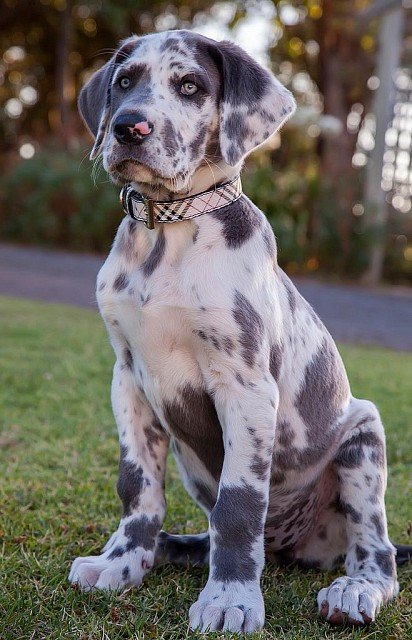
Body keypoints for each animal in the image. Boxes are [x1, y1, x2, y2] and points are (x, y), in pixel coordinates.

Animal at [68, 30, 406, 636]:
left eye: (190, 86)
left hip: (363, 440)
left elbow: (240, 503)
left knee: (377, 551)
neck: (169, 233)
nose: (129, 127)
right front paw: (122, 562)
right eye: (124, 81)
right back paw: (170, 549)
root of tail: (293, 548)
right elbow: (136, 486)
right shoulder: (127, 378)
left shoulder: (245, 387)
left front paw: (230, 599)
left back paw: (354, 590)